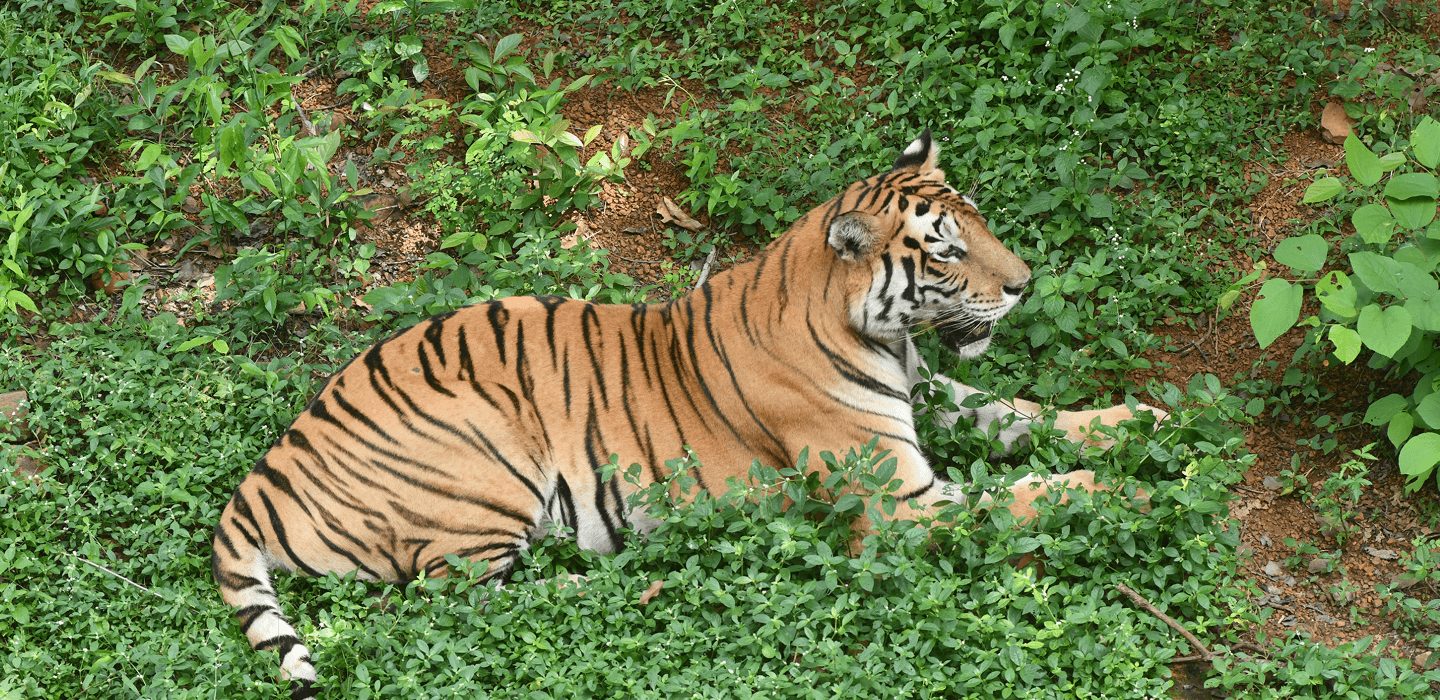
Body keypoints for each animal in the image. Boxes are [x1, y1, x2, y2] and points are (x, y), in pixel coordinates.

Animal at [211, 130, 1166, 697]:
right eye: (947, 250)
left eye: (983, 226)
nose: (1024, 285)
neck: (880, 334)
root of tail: (266, 471)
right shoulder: (898, 504)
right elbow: (1027, 495)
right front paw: (1128, 492)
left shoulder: (931, 397)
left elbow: (1024, 413)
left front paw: (1140, 423)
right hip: (484, 469)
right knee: (469, 602)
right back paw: (648, 576)